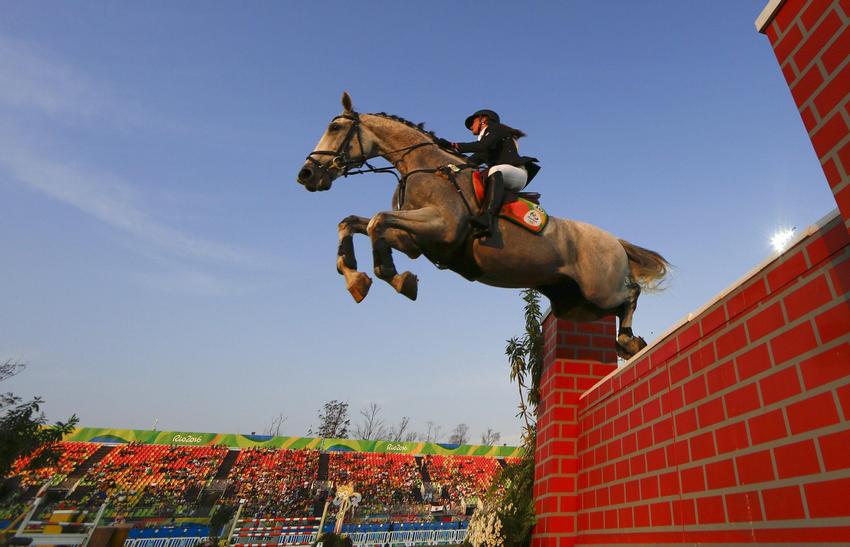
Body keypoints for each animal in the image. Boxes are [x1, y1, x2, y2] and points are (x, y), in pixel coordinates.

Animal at [294, 93, 664, 360]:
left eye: (336, 129)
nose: (306, 175)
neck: (422, 168)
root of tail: (616, 241)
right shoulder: (413, 240)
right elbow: (356, 223)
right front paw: (358, 279)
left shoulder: (441, 227)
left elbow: (376, 221)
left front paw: (395, 278)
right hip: (576, 302)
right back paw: (629, 343)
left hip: (600, 289)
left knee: (631, 293)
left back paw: (629, 341)